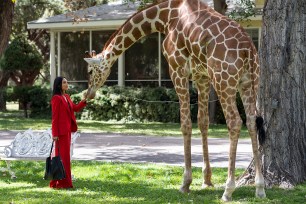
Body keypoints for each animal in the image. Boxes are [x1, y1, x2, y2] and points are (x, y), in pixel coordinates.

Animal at [83, 0, 266, 201]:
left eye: (90, 71)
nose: (88, 94)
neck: (165, 17)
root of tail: (248, 49)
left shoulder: (177, 69)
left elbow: (185, 124)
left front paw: (185, 183)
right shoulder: (202, 76)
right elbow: (203, 122)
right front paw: (206, 180)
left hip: (223, 81)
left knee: (235, 121)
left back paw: (228, 189)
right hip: (248, 82)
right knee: (251, 121)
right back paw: (260, 187)